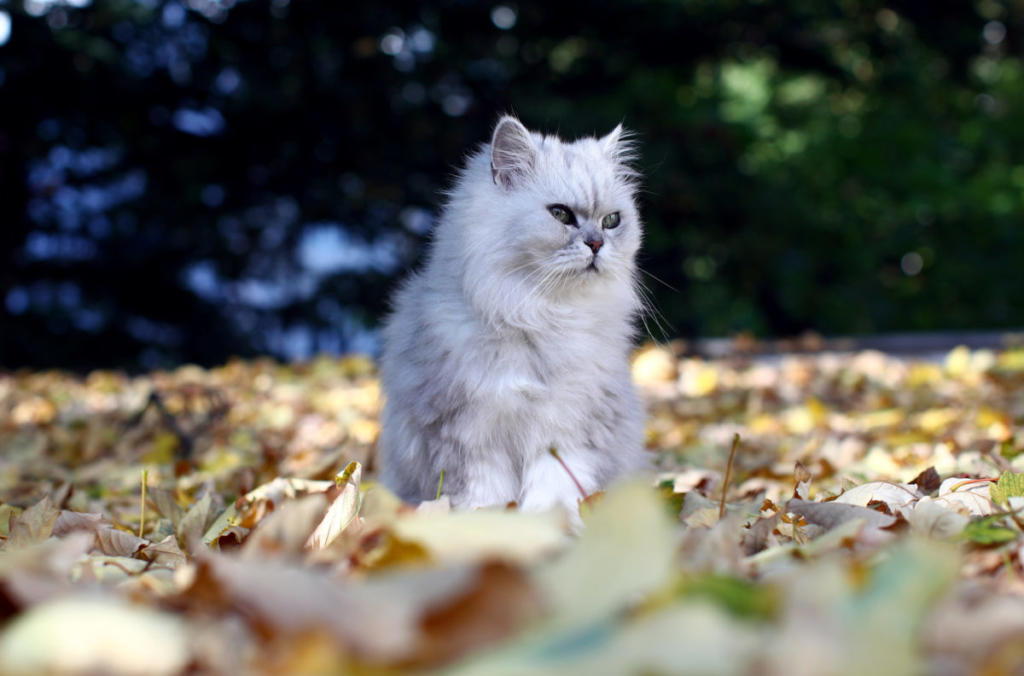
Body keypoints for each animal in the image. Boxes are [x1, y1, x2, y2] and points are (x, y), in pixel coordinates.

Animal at [376, 114, 647, 522]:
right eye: (560, 215)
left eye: (612, 221)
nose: (597, 244)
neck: (540, 316)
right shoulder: (469, 436)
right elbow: (483, 496)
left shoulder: (565, 430)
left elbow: (556, 490)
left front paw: (554, 527)